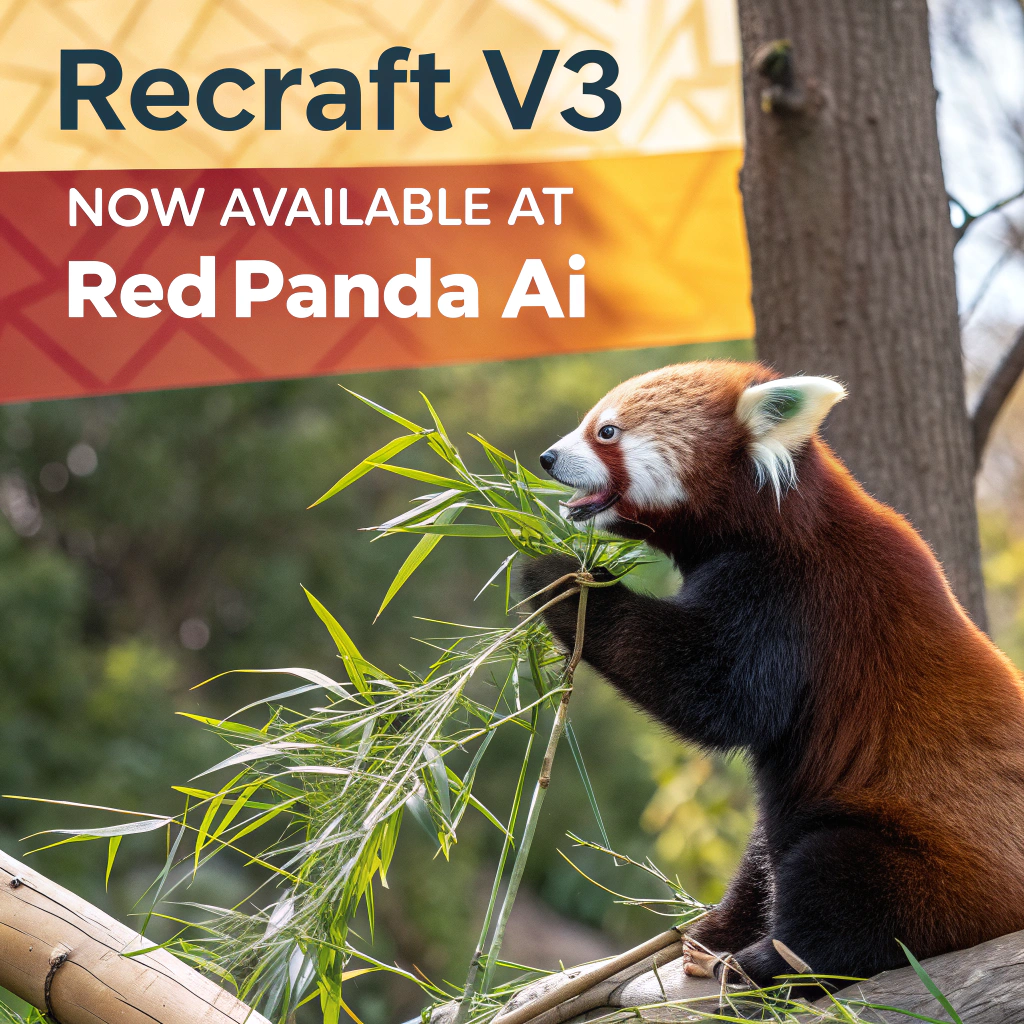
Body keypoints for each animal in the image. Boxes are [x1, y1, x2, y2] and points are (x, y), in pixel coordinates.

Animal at [520, 359, 1024, 990]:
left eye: (606, 432)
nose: (546, 458)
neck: (777, 518)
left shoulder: (793, 598)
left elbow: (713, 697)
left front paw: (562, 581)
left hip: (934, 864)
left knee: (838, 878)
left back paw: (763, 962)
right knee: (768, 855)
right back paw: (720, 936)